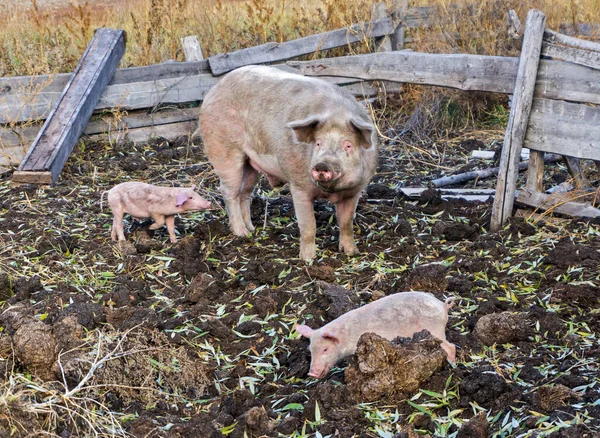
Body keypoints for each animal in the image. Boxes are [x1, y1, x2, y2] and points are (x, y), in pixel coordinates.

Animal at [199, 65, 378, 260]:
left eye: (348, 145)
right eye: (318, 143)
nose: (322, 165)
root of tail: (213, 90)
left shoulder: (355, 191)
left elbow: (346, 223)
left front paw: (352, 253)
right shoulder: (298, 186)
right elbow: (308, 225)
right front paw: (308, 259)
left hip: (250, 164)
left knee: (244, 192)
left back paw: (252, 229)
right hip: (224, 151)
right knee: (228, 191)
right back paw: (242, 233)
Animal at [296, 292, 454, 378]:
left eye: (325, 349)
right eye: (311, 351)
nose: (311, 373)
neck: (345, 337)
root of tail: (442, 305)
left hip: (434, 328)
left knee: (451, 346)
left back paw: (452, 366)